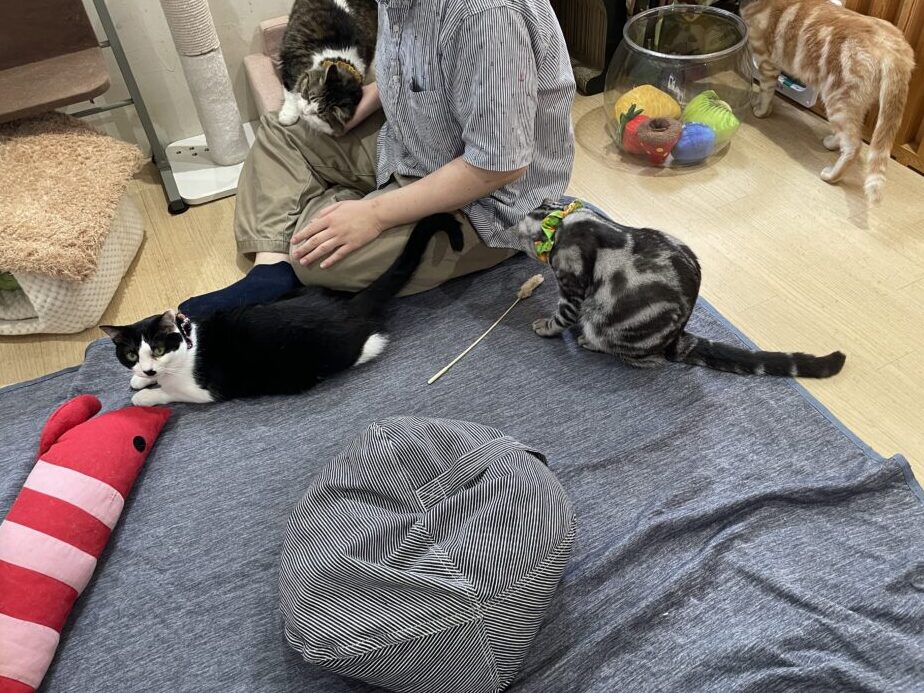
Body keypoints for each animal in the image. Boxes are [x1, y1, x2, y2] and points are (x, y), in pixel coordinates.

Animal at [100, 214, 463, 406]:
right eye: (131, 355)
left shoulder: (202, 391)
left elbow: (169, 394)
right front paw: (138, 380)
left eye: (159, 349)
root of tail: (347, 303)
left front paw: (145, 396)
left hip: (342, 350)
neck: (188, 347)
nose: (147, 369)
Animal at [277, 0, 377, 133]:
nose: (304, 112)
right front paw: (288, 115)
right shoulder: (291, 62)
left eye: (318, 115)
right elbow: (291, 92)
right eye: (308, 97)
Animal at [513, 201, 846, 378]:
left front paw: (545, 327)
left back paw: (590, 341)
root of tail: (677, 337)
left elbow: (561, 317)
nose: (512, 229)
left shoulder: (572, 288)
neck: (560, 221)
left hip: (610, 324)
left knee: (646, 359)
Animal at [741, 0, 915, 203]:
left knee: (854, 145)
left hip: (838, 100)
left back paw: (832, 176)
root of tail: (896, 49)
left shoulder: (767, 62)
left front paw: (761, 111)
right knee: (849, 134)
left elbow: (766, 90)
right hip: (855, 104)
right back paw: (832, 142)